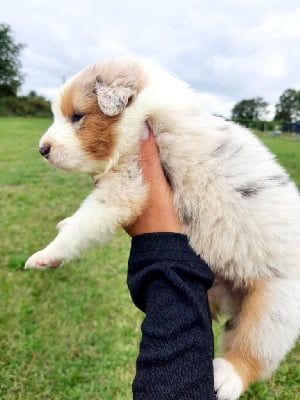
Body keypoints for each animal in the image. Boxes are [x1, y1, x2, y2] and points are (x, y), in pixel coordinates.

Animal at [25, 57, 300, 400]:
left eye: (77, 116)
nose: (42, 149)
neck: (141, 114)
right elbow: (77, 221)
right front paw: (63, 224)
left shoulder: (126, 186)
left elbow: (82, 225)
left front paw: (44, 256)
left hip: (276, 305)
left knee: (254, 350)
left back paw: (225, 377)